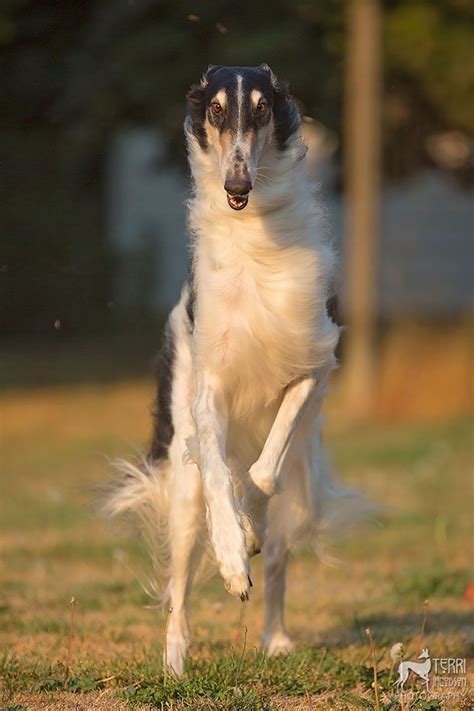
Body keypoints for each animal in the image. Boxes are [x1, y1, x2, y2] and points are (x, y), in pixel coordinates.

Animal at [103, 64, 362, 676]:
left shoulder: (311, 368)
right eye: (216, 109)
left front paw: (246, 531)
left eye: (263, 108)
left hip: (299, 481)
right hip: (181, 486)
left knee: (278, 552)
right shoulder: (209, 393)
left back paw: (276, 635)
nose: (237, 186)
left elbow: (261, 474)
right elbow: (222, 478)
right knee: (179, 583)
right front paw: (230, 555)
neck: (254, 241)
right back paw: (175, 661)